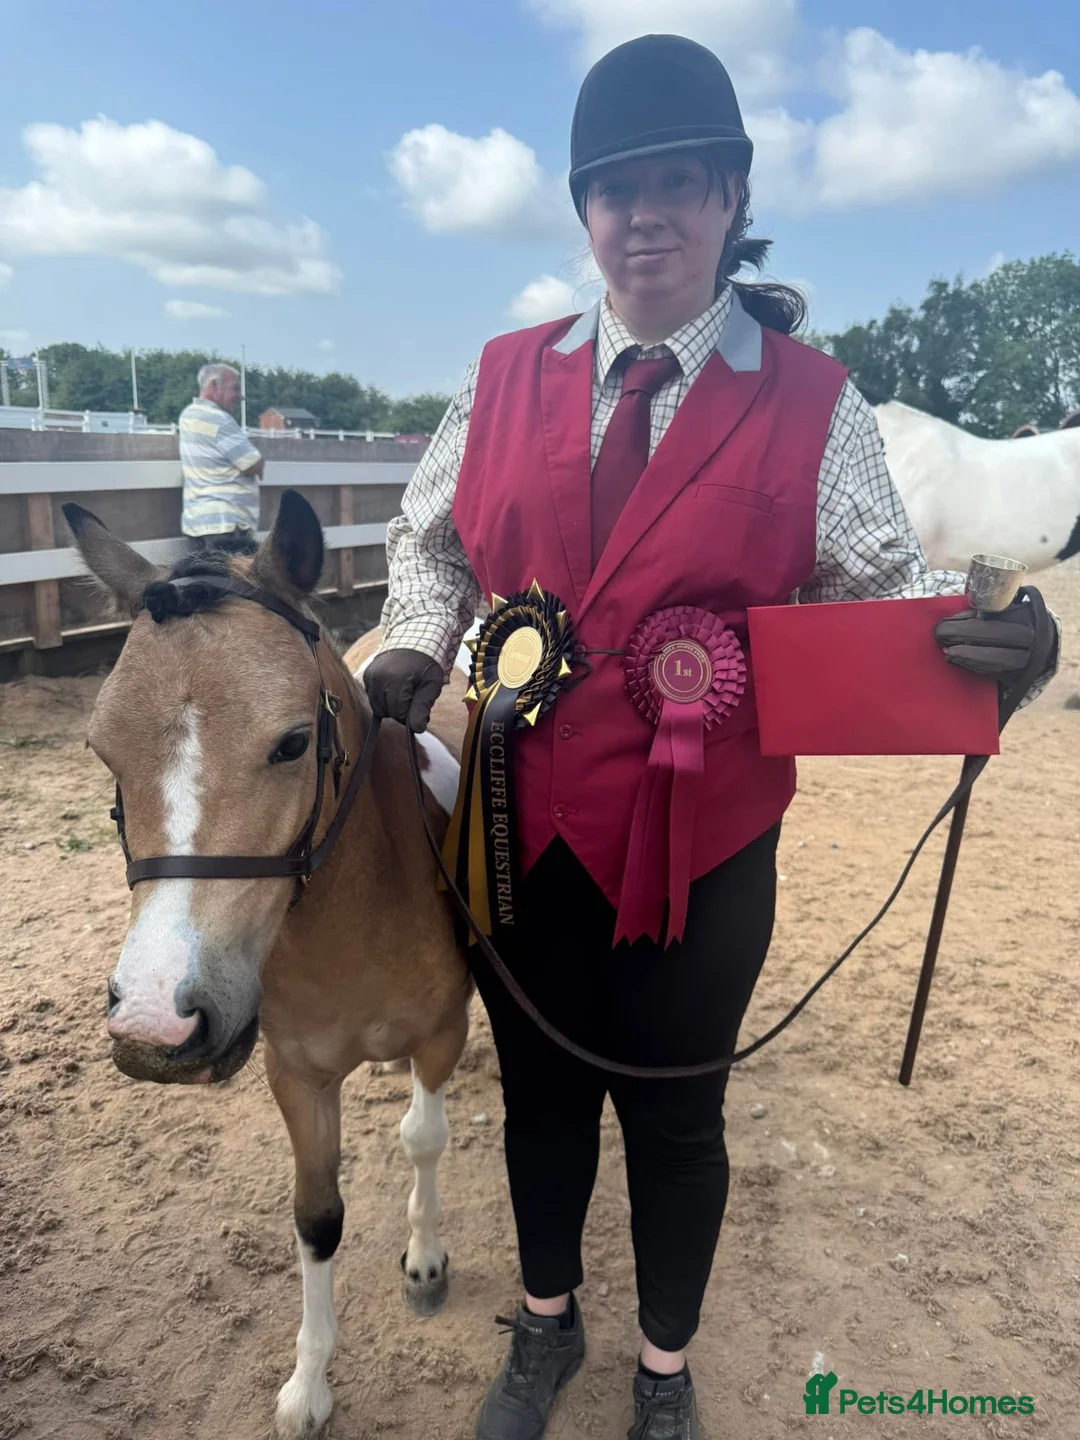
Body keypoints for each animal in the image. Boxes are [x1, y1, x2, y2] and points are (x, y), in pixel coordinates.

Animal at [64, 489, 471, 1439]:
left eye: (290, 743)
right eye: (103, 749)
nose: (155, 1019)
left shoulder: (444, 1034)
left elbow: (423, 1138)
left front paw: (426, 1261)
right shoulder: (296, 1074)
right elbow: (315, 1216)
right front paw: (309, 1385)